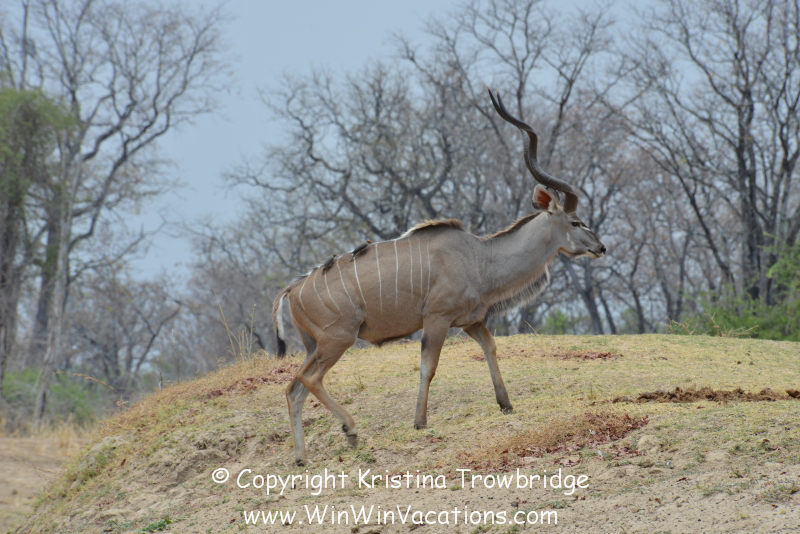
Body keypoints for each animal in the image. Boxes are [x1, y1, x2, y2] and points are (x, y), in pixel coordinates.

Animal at [273, 89, 606, 465]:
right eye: (576, 222)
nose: (600, 247)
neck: (480, 258)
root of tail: (292, 289)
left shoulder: (471, 320)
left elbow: (491, 348)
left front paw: (506, 405)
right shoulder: (437, 319)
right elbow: (427, 367)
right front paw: (420, 422)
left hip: (315, 345)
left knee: (293, 388)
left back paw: (301, 457)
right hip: (337, 339)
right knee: (308, 379)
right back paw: (351, 429)